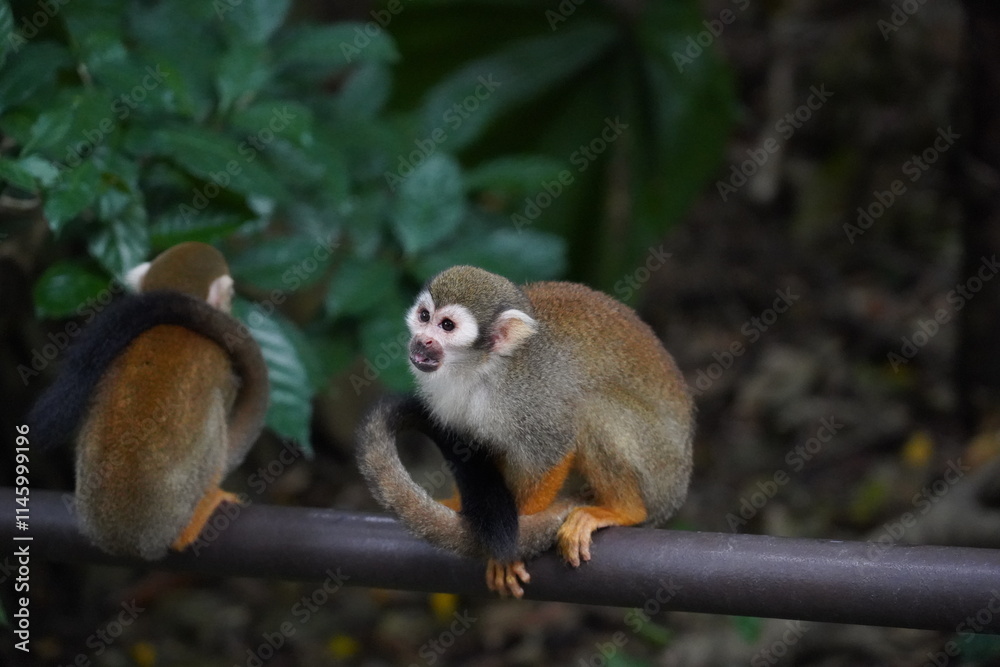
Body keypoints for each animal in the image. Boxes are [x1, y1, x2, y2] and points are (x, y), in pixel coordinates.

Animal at [357, 265, 694, 598]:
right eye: (425, 316)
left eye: (447, 326)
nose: (422, 340)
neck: (482, 369)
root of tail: (675, 493)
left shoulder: (530, 394)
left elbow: (552, 450)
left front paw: (517, 536)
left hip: (658, 464)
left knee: (592, 408)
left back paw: (623, 510)